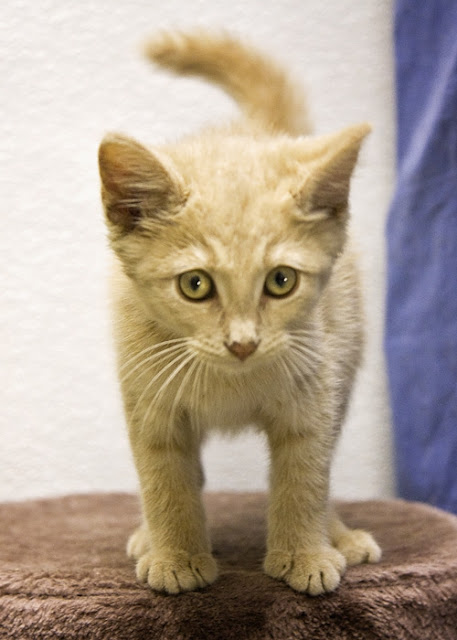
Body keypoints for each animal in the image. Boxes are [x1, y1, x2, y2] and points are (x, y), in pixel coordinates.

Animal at [98, 31, 381, 596]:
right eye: (195, 285)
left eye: (281, 280)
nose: (243, 343)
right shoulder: (150, 399)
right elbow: (165, 478)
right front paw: (177, 556)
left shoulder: (313, 392)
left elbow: (306, 476)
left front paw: (304, 553)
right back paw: (149, 537)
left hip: (345, 353)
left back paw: (338, 535)